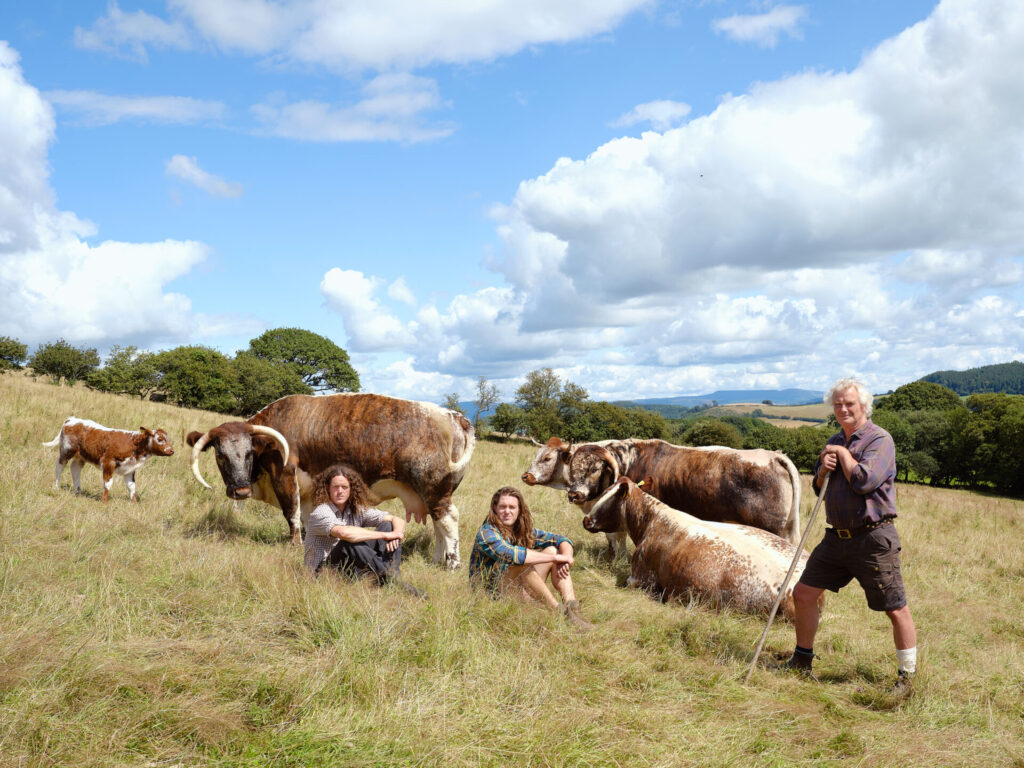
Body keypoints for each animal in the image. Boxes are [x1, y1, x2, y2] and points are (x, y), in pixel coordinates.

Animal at [40, 417, 174, 501]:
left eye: (169, 439)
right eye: (159, 439)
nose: (171, 451)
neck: (133, 444)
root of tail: (72, 419)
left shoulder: (130, 469)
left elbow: (131, 486)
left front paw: (134, 502)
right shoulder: (109, 462)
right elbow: (108, 483)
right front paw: (104, 501)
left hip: (80, 456)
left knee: (75, 469)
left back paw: (78, 491)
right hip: (66, 450)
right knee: (60, 465)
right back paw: (56, 486)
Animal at [189, 393, 475, 569]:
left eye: (249, 453)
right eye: (220, 455)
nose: (240, 490)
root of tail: (454, 415)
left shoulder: (284, 475)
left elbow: (291, 514)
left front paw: (294, 544)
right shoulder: (307, 490)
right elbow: (307, 518)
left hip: (434, 489)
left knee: (449, 520)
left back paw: (452, 563)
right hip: (433, 493)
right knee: (439, 525)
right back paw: (438, 559)